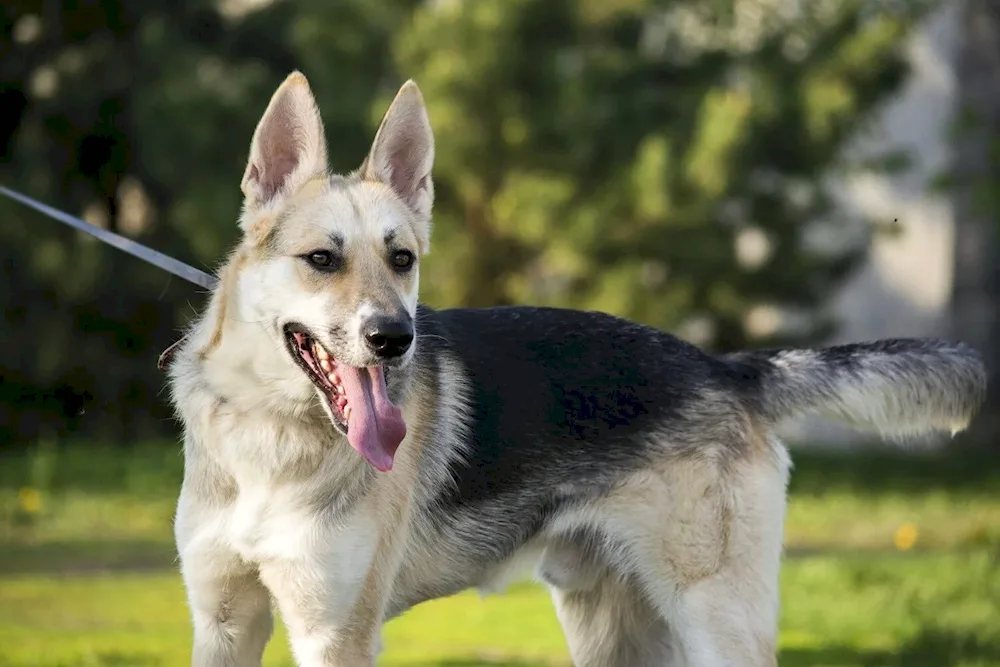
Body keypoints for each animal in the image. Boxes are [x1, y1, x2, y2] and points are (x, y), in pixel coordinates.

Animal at [168, 70, 988, 664]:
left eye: (402, 260)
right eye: (321, 260)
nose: (396, 338)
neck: (268, 437)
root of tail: (725, 369)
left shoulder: (333, 635)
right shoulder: (224, 625)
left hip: (716, 620)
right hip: (615, 631)